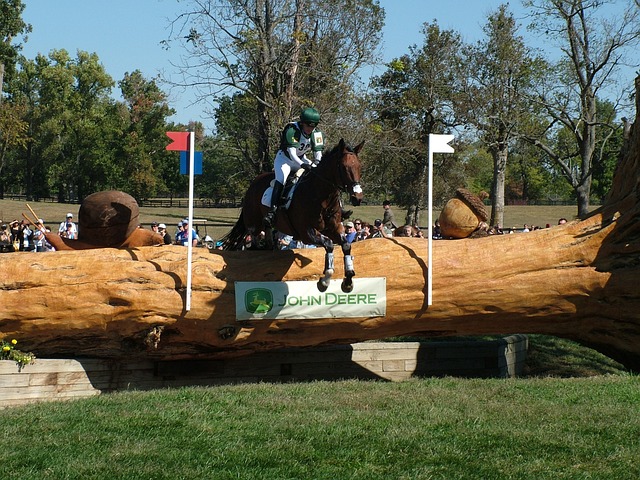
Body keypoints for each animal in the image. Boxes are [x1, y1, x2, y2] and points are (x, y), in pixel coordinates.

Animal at [222, 139, 364, 292]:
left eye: (359, 167)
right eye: (344, 167)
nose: (357, 198)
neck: (322, 196)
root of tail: (253, 183)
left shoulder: (334, 228)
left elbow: (346, 245)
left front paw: (348, 280)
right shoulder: (306, 232)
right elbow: (329, 244)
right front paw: (325, 280)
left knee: (266, 232)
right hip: (253, 221)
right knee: (253, 236)